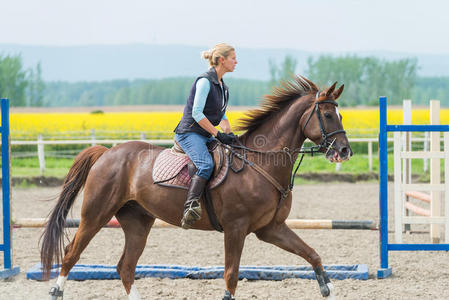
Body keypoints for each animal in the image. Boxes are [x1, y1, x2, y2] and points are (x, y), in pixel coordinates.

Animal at [41, 75, 350, 300]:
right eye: (327, 115)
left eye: (339, 115)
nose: (345, 151)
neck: (260, 162)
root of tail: (107, 152)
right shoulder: (236, 229)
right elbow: (231, 275)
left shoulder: (271, 228)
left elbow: (312, 254)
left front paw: (328, 288)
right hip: (96, 214)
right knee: (71, 253)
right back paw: (55, 291)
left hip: (137, 221)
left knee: (125, 267)